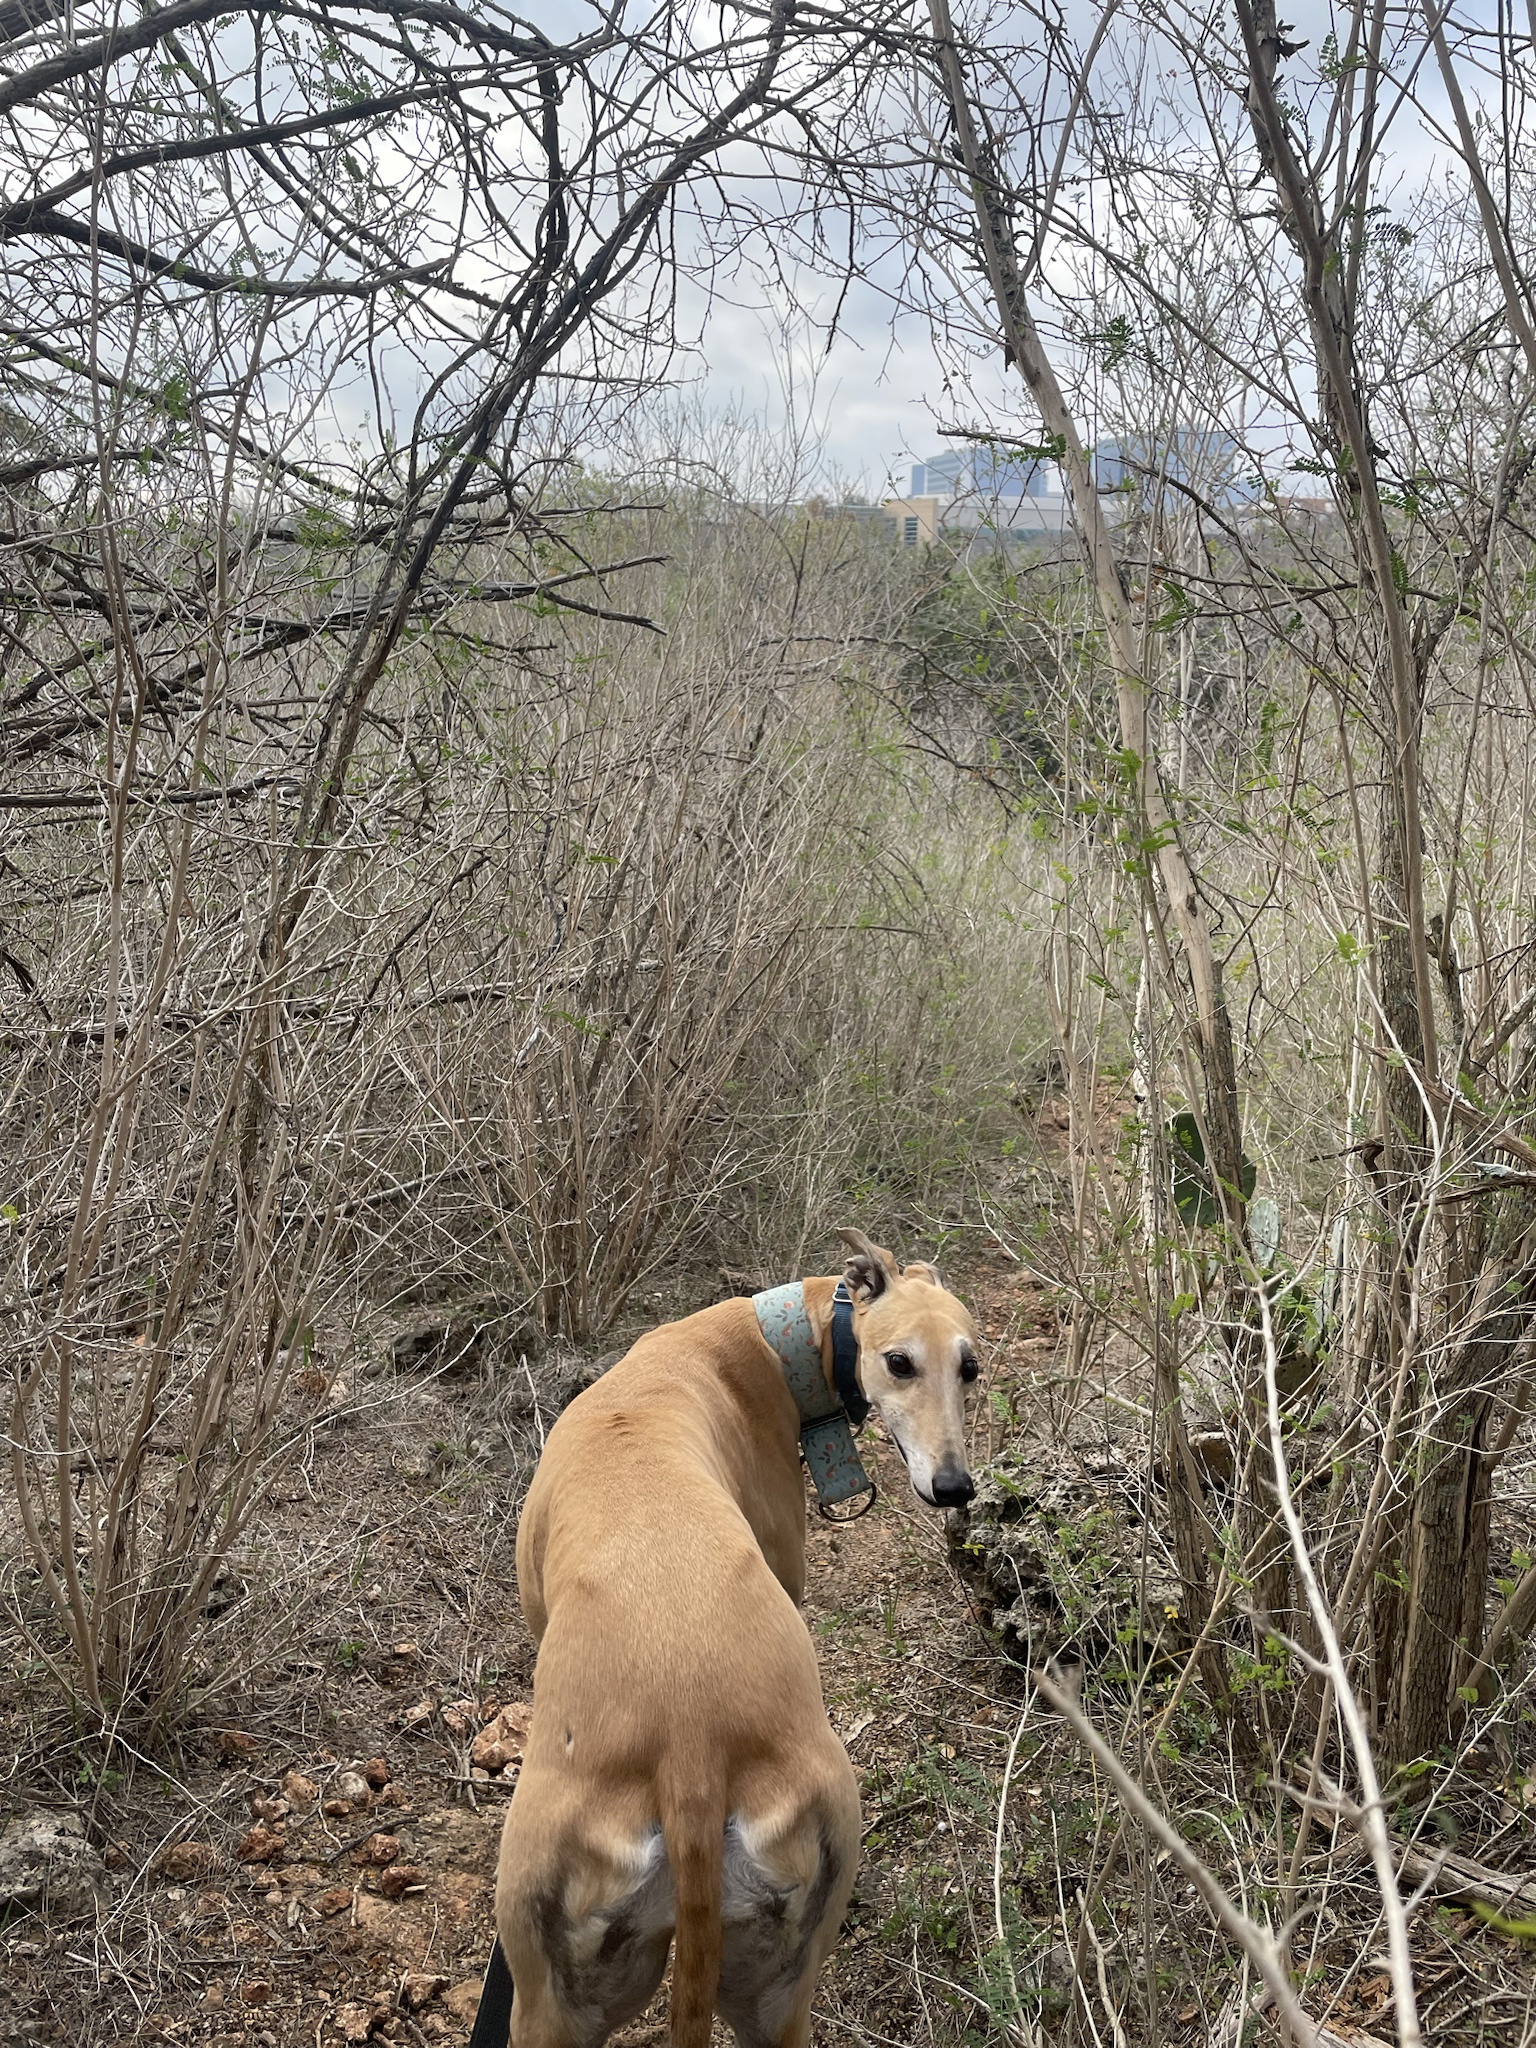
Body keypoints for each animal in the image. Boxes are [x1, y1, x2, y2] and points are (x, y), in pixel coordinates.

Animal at [493, 1228, 974, 2048]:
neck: (771, 1343)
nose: (955, 1488)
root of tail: (691, 1749)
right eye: (900, 1361)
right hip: (769, 1989)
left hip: (543, 1990)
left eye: (969, 1368)